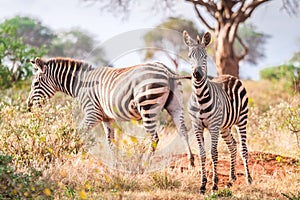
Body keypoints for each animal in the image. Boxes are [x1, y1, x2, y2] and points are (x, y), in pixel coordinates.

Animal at [26, 57, 195, 167]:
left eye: (35, 84)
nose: (28, 106)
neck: (79, 84)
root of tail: (166, 70)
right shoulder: (107, 118)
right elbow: (111, 141)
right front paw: (116, 163)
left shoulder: (92, 113)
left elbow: (79, 133)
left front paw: (72, 155)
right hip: (175, 105)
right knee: (182, 131)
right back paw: (191, 160)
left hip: (147, 106)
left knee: (154, 138)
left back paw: (145, 164)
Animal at [183, 30, 253, 194]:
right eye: (189, 56)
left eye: (205, 56)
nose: (197, 74)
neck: (200, 98)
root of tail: (230, 76)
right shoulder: (197, 126)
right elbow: (202, 154)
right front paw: (202, 185)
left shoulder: (213, 126)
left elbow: (214, 153)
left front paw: (214, 185)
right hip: (225, 127)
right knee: (233, 145)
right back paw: (231, 179)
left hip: (241, 120)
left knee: (243, 149)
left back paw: (248, 179)